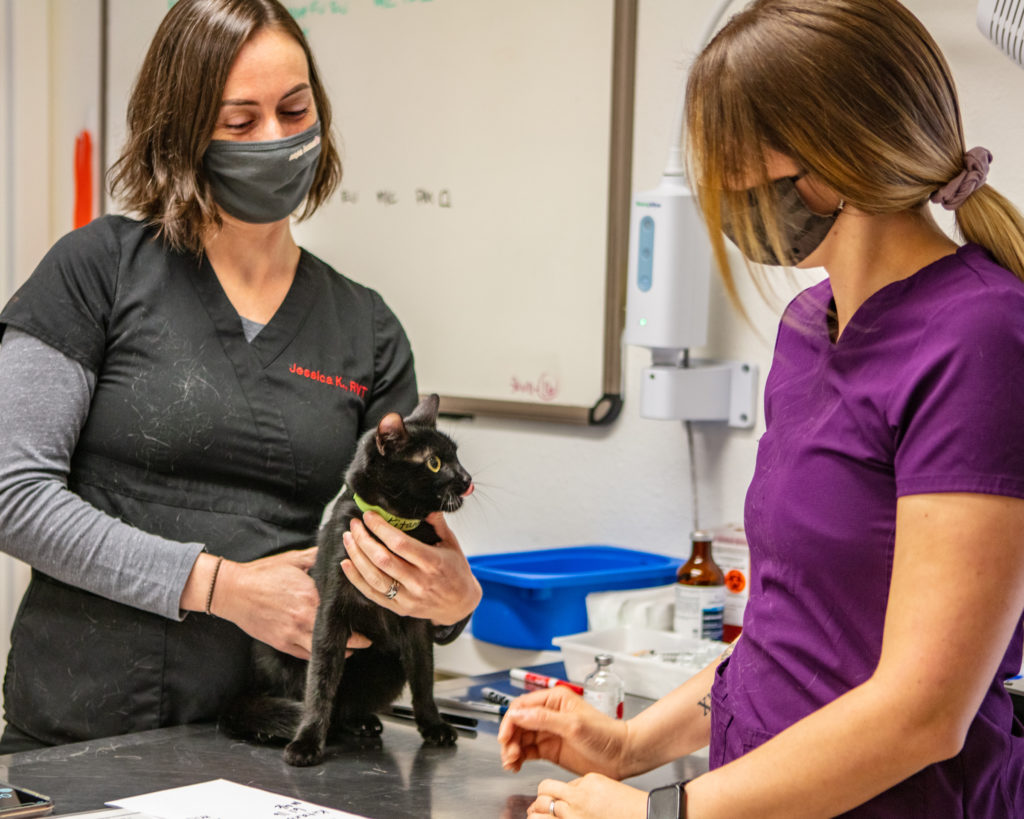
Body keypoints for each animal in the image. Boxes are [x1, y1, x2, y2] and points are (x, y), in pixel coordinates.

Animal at [221, 397, 475, 769]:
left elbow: (424, 678)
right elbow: (320, 683)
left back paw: (361, 722)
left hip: (387, 666)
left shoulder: (418, 623)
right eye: (434, 463)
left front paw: (433, 725)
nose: (467, 478)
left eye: (457, 456)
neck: (396, 524)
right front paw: (306, 741)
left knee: (349, 708)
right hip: (277, 658)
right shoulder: (331, 616)